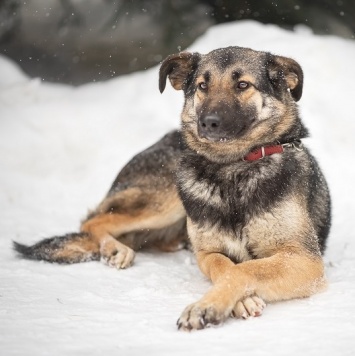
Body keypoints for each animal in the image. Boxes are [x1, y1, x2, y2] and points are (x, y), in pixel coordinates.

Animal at [13, 46, 330, 330]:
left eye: (242, 85)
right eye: (202, 86)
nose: (209, 123)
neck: (232, 169)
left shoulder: (304, 260)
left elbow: (244, 269)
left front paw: (208, 306)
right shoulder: (208, 254)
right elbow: (228, 268)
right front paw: (234, 301)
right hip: (165, 200)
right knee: (93, 220)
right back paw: (115, 249)